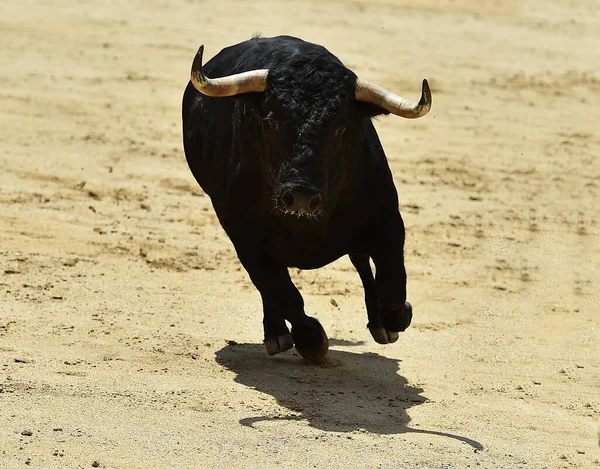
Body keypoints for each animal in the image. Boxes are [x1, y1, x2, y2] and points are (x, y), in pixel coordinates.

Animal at [179, 35, 432, 362]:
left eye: (340, 128)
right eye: (271, 122)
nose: (300, 197)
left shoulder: (386, 220)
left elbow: (392, 284)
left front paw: (396, 318)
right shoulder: (245, 239)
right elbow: (282, 292)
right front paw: (311, 340)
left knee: (361, 261)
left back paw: (378, 324)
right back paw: (276, 334)